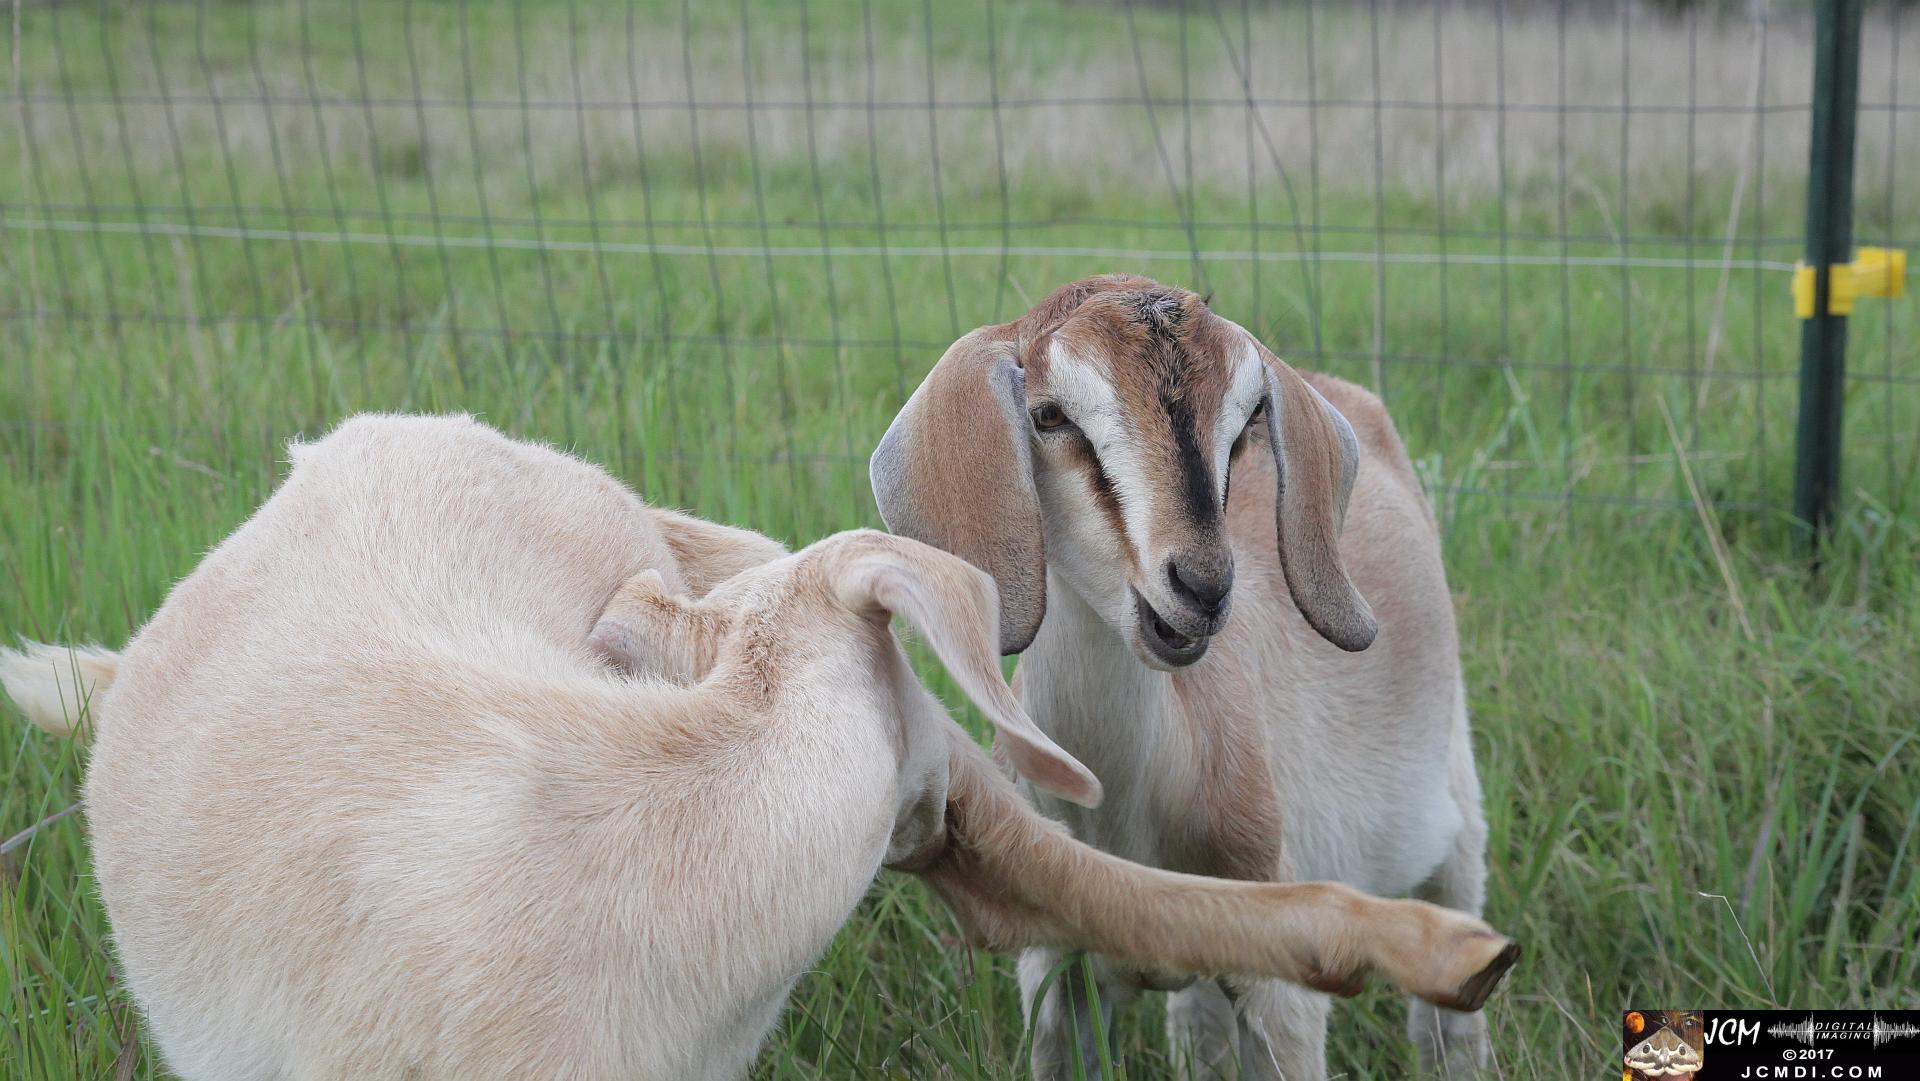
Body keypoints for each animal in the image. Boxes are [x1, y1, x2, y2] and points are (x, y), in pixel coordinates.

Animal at [872, 275, 1499, 1079]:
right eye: (1049, 414)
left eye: (1245, 421)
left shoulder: (1284, 988)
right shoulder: (1057, 975)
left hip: (1457, 815)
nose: (1201, 585)